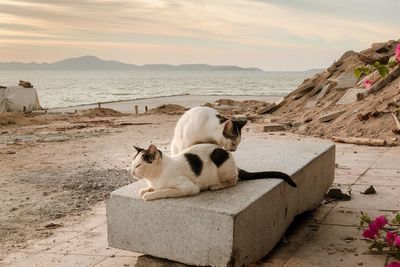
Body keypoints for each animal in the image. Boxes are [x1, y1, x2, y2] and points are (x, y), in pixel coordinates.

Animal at [130, 144, 296, 201]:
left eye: (138, 165)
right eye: (132, 165)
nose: (131, 173)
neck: (154, 177)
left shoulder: (189, 188)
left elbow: (164, 191)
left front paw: (150, 195)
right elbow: (149, 189)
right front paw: (146, 190)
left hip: (220, 162)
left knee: (233, 180)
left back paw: (217, 186)